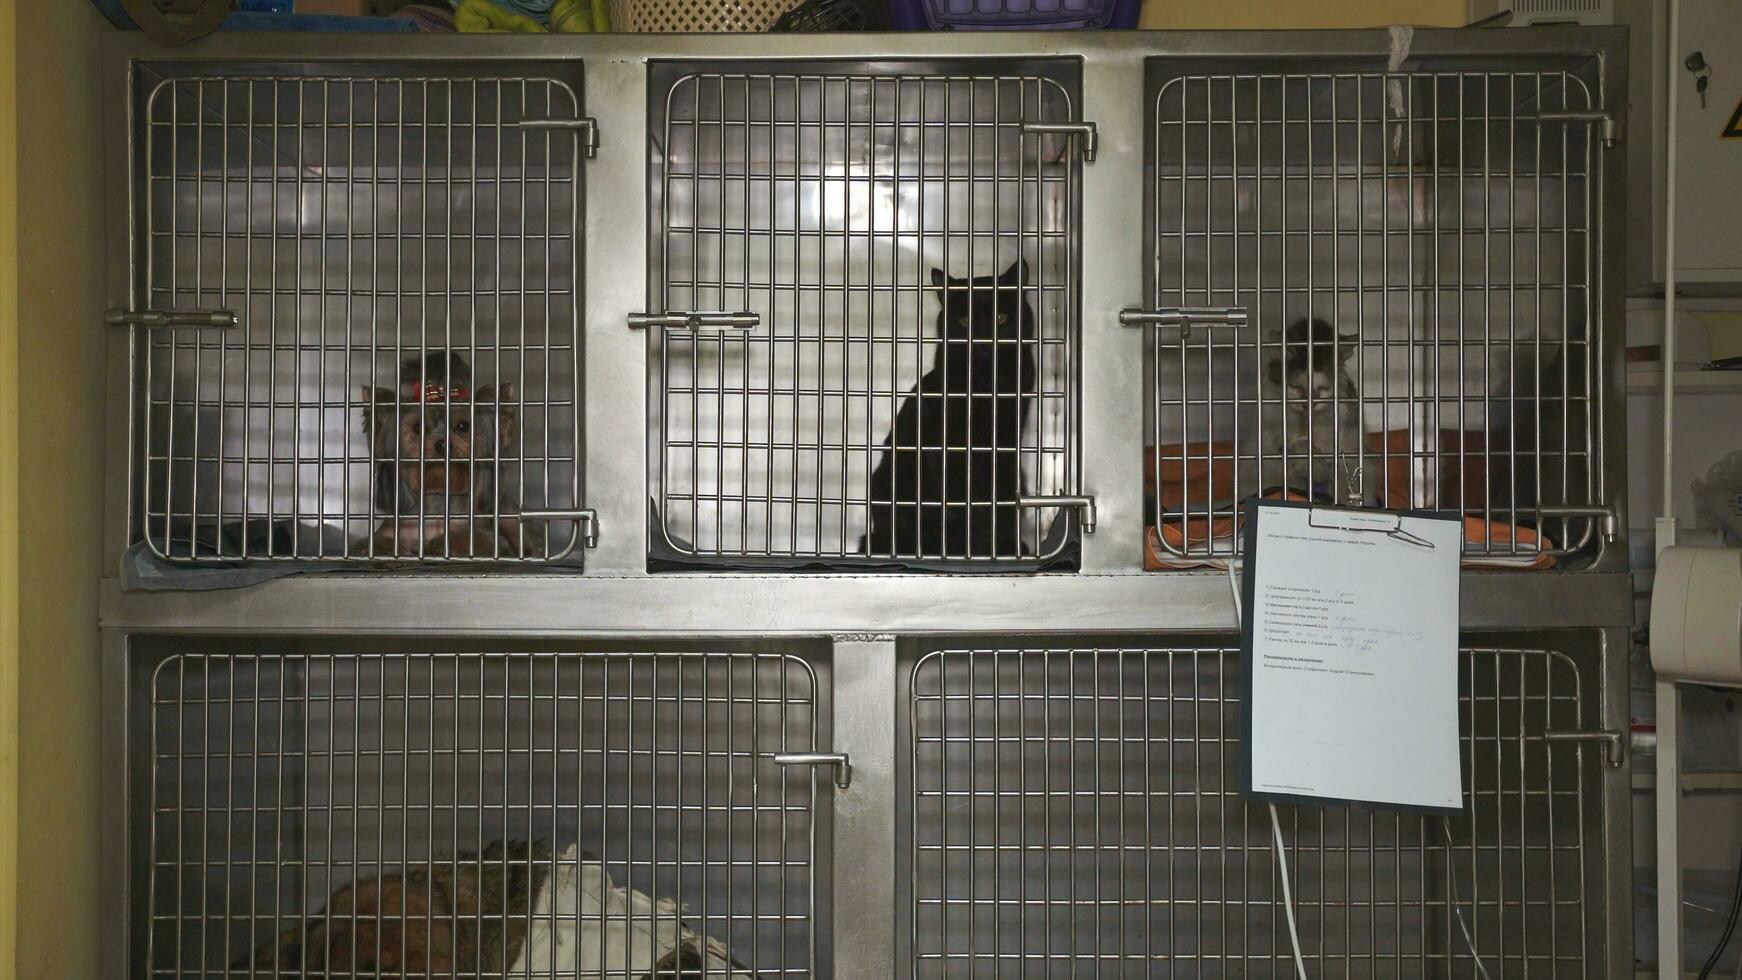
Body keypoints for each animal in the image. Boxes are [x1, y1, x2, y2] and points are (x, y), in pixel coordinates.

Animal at [857, 261, 1031, 560]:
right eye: (964, 322)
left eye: (1000, 318)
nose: (983, 341)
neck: (983, 385)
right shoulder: (945, 449)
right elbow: (955, 504)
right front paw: (963, 548)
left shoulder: (1007, 446)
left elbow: (1004, 502)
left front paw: (1003, 546)